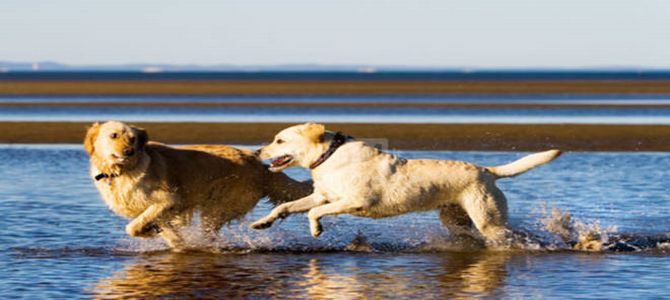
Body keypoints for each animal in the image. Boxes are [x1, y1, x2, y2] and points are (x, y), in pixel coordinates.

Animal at [85, 120, 314, 250]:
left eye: (132, 139)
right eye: (114, 135)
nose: (128, 151)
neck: (122, 171)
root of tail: (260, 165)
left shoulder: (168, 200)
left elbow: (132, 227)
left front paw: (150, 233)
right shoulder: (160, 211)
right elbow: (163, 231)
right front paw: (168, 239)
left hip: (216, 209)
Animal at [252, 122, 560, 244]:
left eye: (279, 140)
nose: (256, 152)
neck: (329, 156)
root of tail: (487, 170)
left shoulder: (354, 202)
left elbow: (314, 213)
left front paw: (316, 230)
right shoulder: (323, 196)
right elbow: (285, 207)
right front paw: (262, 223)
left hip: (489, 220)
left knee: (516, 236)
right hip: (456, 219)